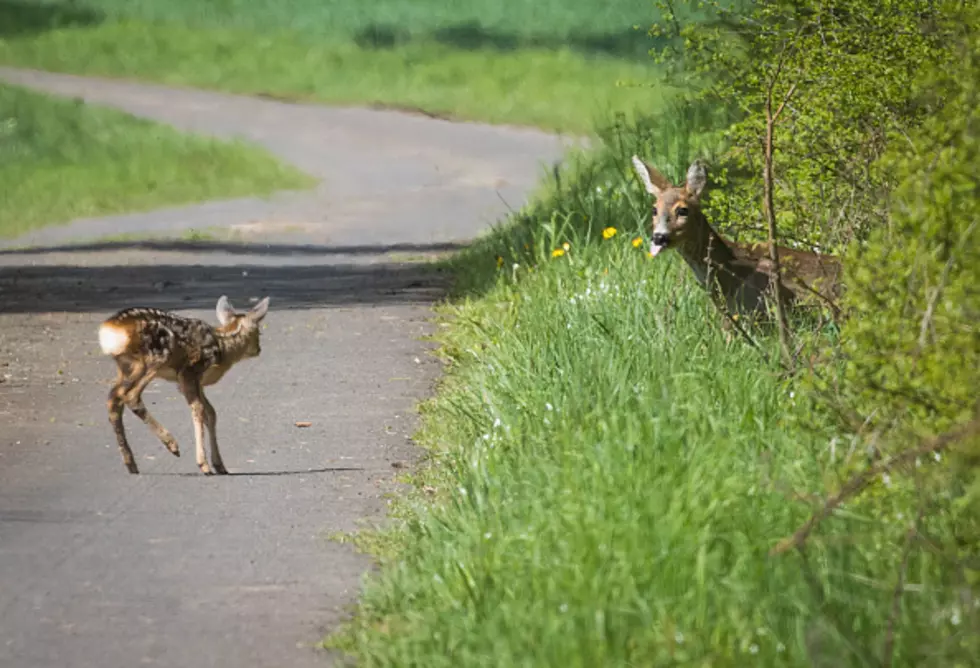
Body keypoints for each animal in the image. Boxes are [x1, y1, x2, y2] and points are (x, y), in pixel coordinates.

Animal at [98, 296, 270, 475]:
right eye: (259, 332)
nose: (259, 349)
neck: (222, 348)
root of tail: (109, 330)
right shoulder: (189, 371)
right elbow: (199, 409)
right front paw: (204, 464)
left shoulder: (194, 382)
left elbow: (211, 413)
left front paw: (219, 465)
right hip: (156, 357)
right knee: (130, 396)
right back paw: (171, 444)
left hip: (126, 367)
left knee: (114, 398)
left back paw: (131, 463)